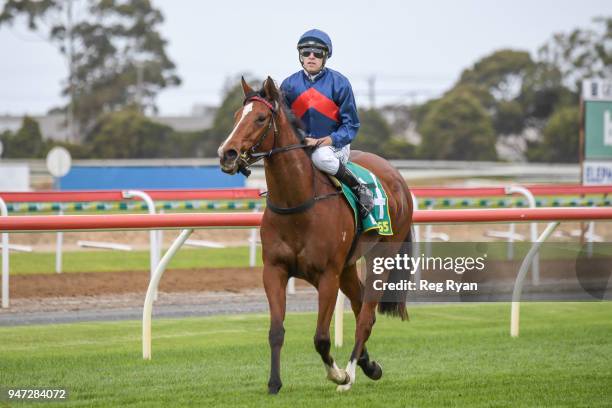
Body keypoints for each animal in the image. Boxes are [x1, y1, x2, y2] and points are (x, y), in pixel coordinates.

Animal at [218, 78, 414, 394]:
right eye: (237, 116)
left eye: (260, 118)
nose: (227, 154)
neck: (298, 203)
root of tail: (396, 176)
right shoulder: (275, 270)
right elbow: (276, 331)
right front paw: (274, 383)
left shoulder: (327, 276)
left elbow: (321, 338)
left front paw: (339, 375)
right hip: (348, 265)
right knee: (359, 305)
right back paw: (368, 365)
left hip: (381, 256)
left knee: (366, 317)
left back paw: (351, 375)